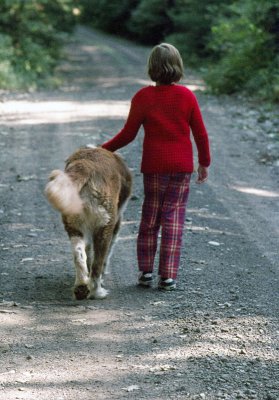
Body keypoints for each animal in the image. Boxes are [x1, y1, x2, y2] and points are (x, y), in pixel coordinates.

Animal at [45, 145, 133, 298]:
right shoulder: (116, 222)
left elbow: (87, 252)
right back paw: (97, 291)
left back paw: (81, 286)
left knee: (79, 254)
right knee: (98, 264)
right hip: (105, 226)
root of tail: (86, 166)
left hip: (73, 225)